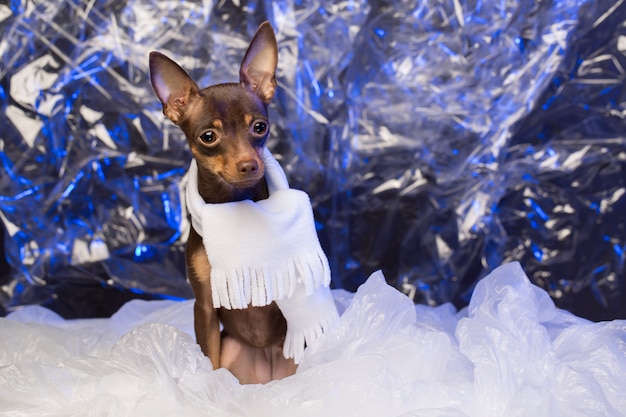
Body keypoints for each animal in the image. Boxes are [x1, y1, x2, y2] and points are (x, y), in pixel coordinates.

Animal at [150, 21, 298, 382]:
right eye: (208, 137)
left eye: (260, 127)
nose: (249, 165)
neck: (235, 206)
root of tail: (267, 378)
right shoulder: (204, 306)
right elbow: (209, 359)